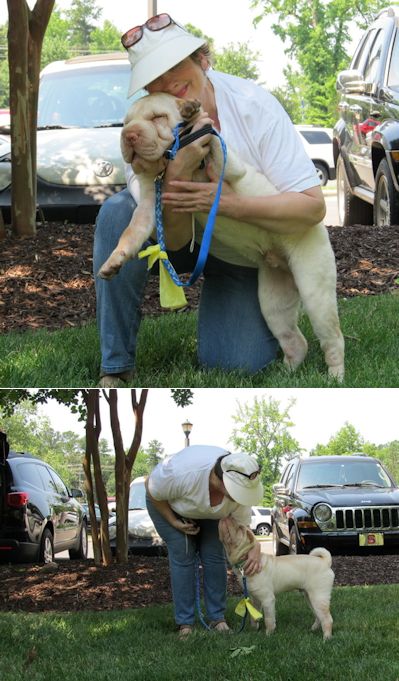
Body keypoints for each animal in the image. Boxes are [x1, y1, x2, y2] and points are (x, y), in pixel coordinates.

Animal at [98, 92, 346, 380]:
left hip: (315, 291)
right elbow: (130, 233)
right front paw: (115, 260)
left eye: (157, 117)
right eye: (126, 122)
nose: (129, 135)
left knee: (333, 337)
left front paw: (194, 114)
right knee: (295, 339)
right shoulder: (149, 207)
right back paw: (285, 374)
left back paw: (335, 376)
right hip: (274, 301)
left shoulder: (231, 167)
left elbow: (213, 141)